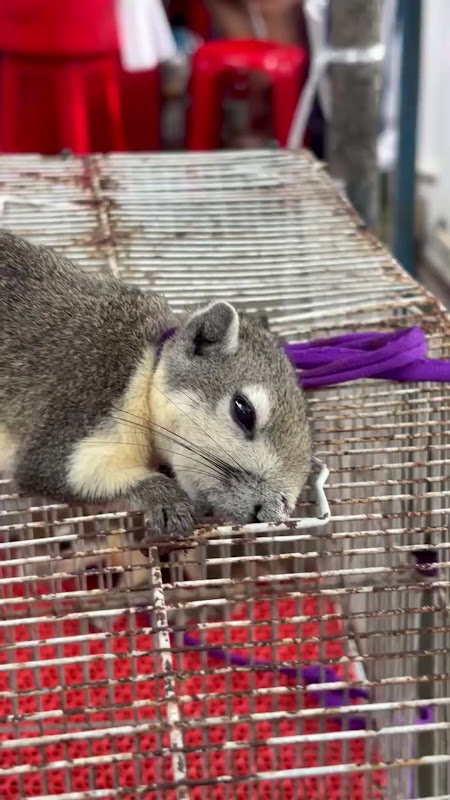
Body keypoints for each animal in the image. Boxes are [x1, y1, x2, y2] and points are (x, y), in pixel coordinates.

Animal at [0, 229, 311, 544]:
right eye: (243, 410)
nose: (271, 513)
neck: (147, 368)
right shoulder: (82, 405)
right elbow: (55, 473)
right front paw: (166, 499)